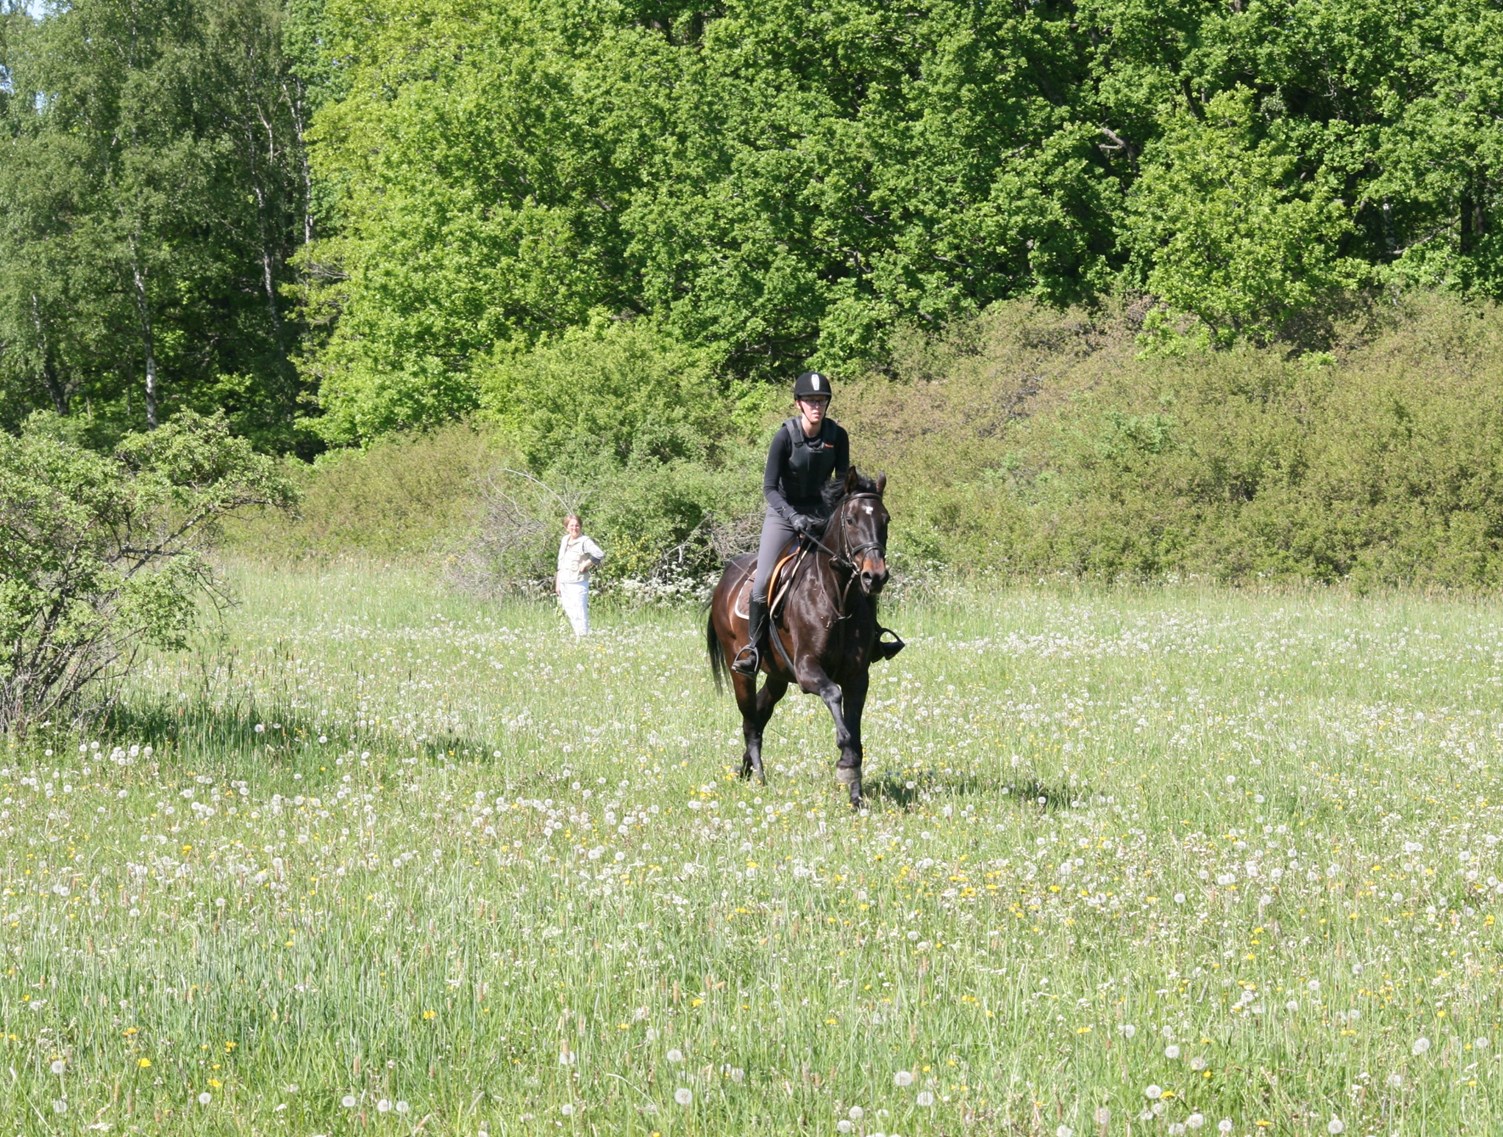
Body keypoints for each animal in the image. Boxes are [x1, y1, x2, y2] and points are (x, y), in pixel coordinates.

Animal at [706, 469, 889, 806]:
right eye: (850, 520)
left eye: (886, 519)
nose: (875, 576)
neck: (837, 597)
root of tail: (726, 576)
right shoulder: (807, 669)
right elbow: (833, 695)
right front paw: (844, 761)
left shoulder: (858, 676)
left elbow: (855, 729)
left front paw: (855, 793)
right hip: (741, 670)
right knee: (750, 719)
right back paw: (759, 776)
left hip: (777, 675)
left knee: (761, 711)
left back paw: (744, 768)